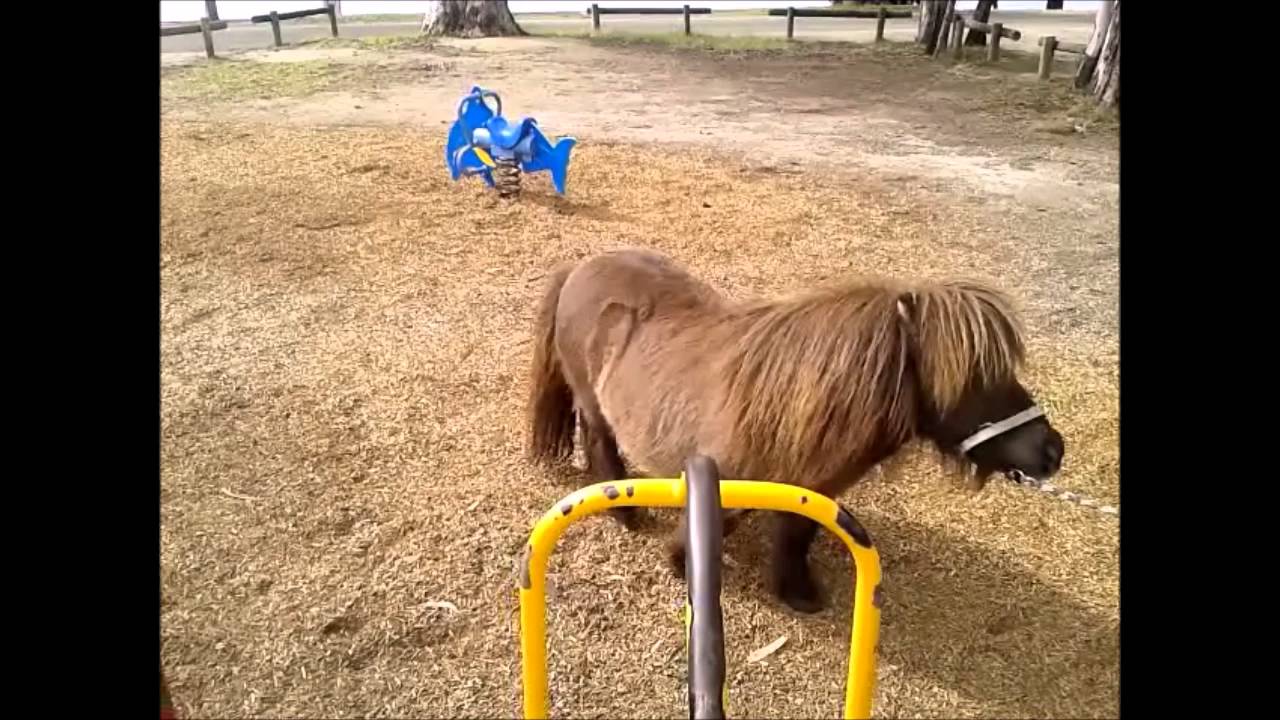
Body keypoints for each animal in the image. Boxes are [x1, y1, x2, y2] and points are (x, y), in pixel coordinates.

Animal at [525, 248, 1064, 613]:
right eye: (971, 378)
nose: (1052, 451)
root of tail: (579, 268)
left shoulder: (813, 486)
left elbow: (795, 534)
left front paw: (797, 592)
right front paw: (684, 565)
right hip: (593, 403)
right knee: (602, 440)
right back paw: (625, 513)